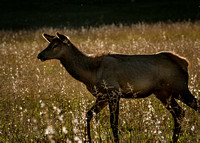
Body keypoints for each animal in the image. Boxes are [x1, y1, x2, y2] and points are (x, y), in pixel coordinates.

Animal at [37, 32, 198, 143]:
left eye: (55, 46)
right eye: (48, 44)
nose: (39, 55)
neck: (89, 74)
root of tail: (185, 62)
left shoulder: (113, 92)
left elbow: (113, 123)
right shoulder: (102, 97)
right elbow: (88, 115)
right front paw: (88, 139)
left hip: (179, 87)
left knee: (194, 105)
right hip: (163, 93)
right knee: (179, 113)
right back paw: (173, 138)